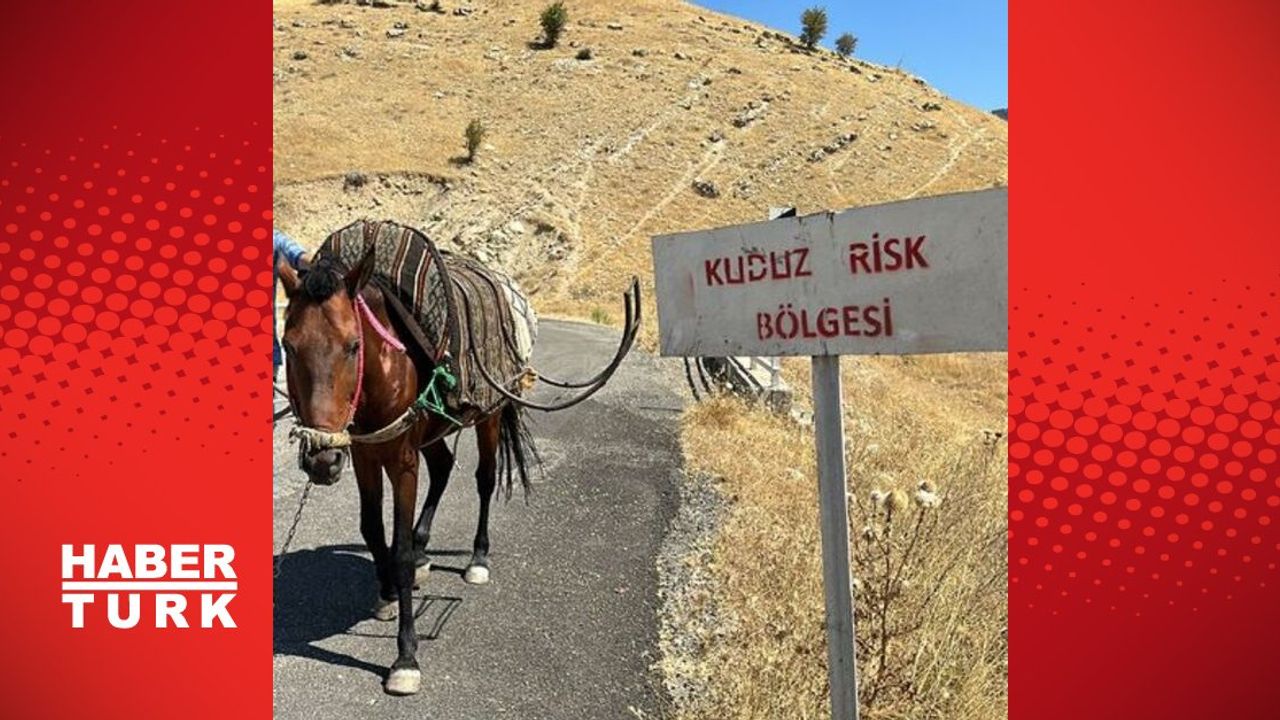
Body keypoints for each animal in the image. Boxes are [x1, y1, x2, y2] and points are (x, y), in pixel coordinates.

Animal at [280, 249, 540, 691]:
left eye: (353, 346)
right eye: (288, 346)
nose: (321, 460)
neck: (385, 368)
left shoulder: (402, 461)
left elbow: (398, 549)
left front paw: (405, 657)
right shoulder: (365, 455)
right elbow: (372, 529)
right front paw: (385, 593)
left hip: (488, 416)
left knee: (484, 479)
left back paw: (477, 559)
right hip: (431, 433)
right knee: (444, 467)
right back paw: (424, 552)